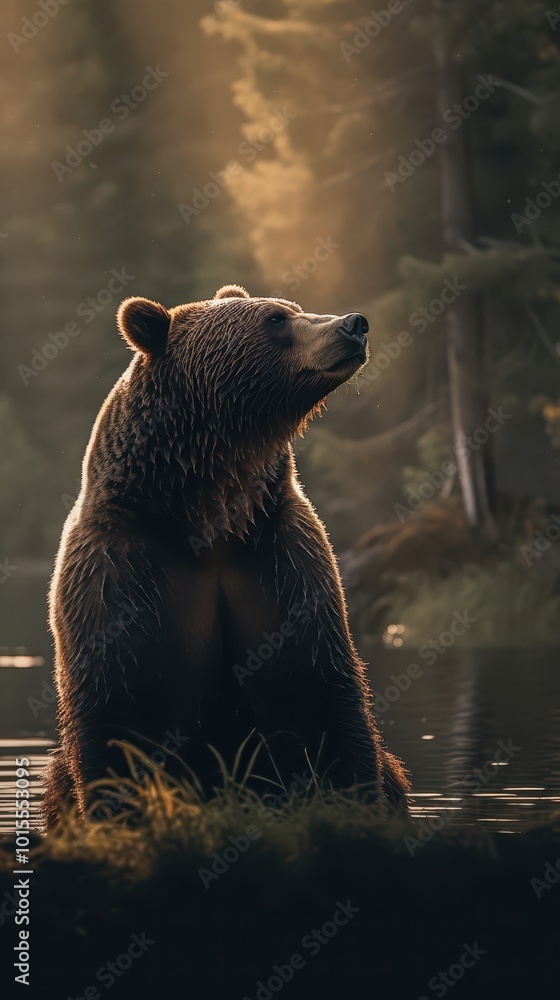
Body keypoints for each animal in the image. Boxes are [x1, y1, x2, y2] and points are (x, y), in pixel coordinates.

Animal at [43, 284, 408, 825]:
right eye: (275, 319)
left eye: (293, 309)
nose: (354, 324)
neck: (210, 516)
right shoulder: (118, 569)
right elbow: (114, 705)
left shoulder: (279, 557)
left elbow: (321, 688)